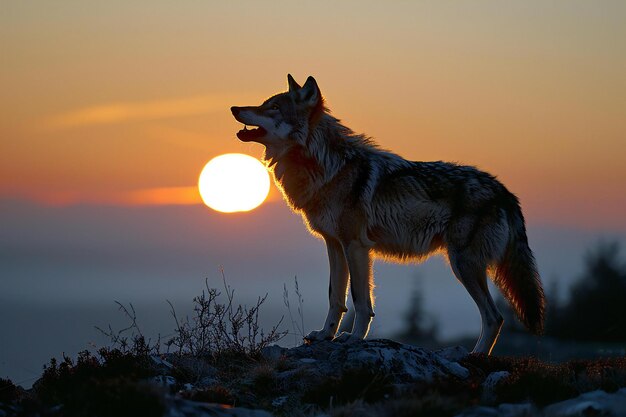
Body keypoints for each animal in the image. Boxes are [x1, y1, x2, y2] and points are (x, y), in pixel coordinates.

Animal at [232, 75, 544, 354]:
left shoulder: (356, 246)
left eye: (273, 107)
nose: (234, 108)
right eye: (264, 104)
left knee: (495, 317)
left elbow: (360, 300)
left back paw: (475, 356)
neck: (327, 167)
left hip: (463, 264)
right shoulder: (334, 245)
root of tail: (504, 191)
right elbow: (336, 297)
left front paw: (353, 338)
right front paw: (324, 335)